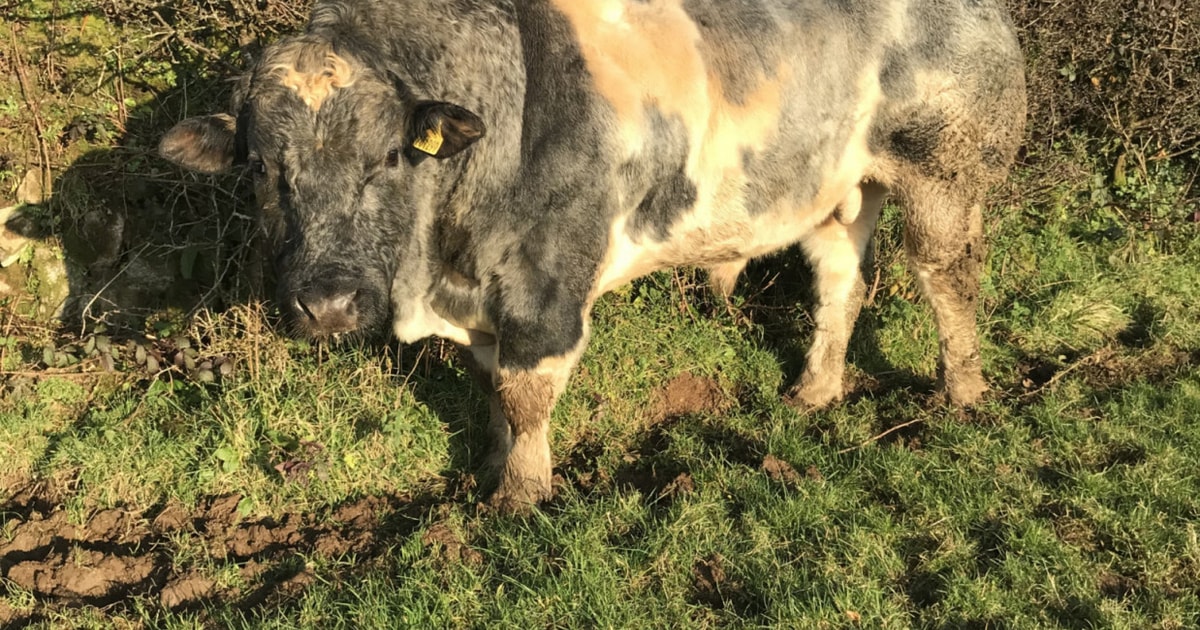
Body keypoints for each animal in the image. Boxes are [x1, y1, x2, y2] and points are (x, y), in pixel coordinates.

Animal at [159, 0, 1026, 511]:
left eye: (390, 157)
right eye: (261, 168)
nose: (328, 303)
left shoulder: (544, 282)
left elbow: (525, 391)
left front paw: (520, 496)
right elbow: (492, 388)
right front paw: (492, 466)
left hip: (947, 174)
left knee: (949, 278)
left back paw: (963, 394)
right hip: (839, 193)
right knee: (841, 284)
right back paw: (815, 391)